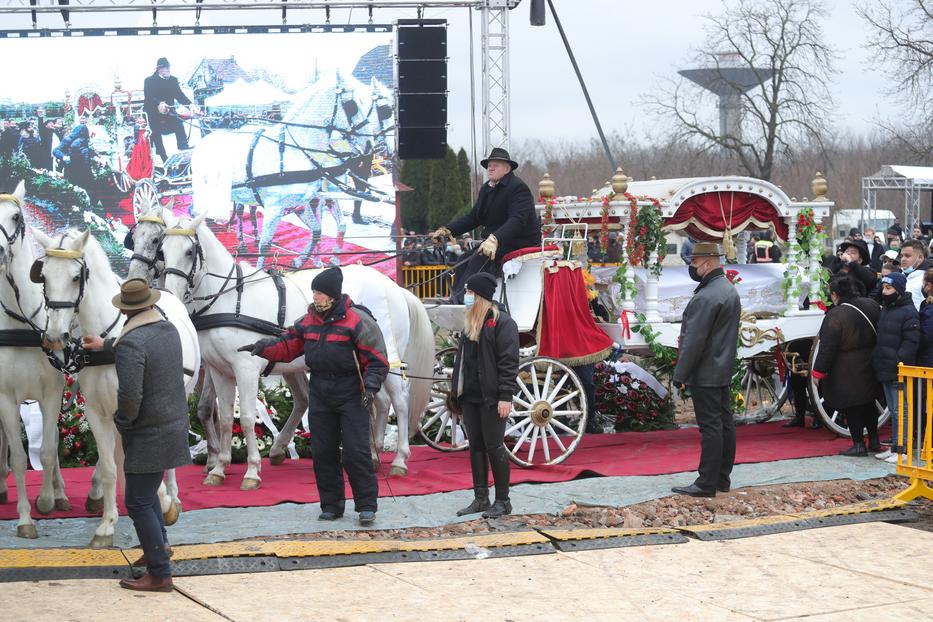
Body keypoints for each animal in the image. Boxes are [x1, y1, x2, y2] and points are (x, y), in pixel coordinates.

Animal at [31, 228, 199, 544]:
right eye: (43, 275)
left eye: (76, 277)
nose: (56, 336)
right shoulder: (98, 412)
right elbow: (109, 467)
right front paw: (107, 523)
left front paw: (164, 501)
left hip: (181, 395)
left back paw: (173, 496)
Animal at [149, 210, 434, 478]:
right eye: (162, 250)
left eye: (189, 251)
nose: (171, 293)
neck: (229, 299)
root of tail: (393, 286)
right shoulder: (220, 371)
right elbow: (227, 418)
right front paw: (219, 469)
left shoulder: (245, 368)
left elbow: (248, 418)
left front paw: (251, 470)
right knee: (379, 400)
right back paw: (372, 453)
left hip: (384, 356)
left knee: (399, 400)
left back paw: (399, 459)